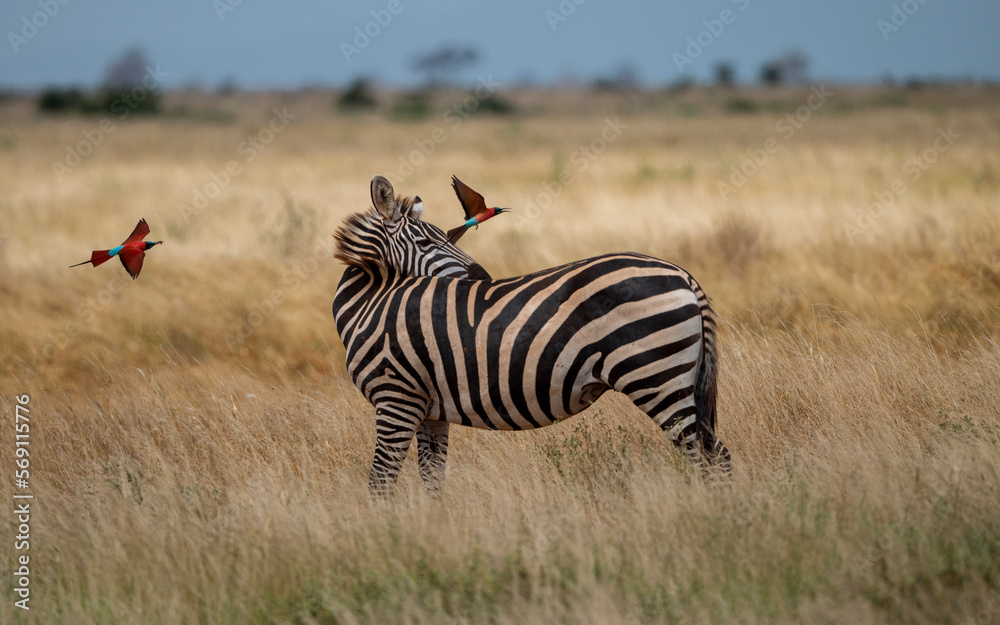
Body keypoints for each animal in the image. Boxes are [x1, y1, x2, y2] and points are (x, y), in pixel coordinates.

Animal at [333, 175, 731, 495]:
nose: (483, 277)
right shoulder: (429, 410)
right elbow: (432, 481)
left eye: (446, 238)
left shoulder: (397, 398)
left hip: (655, 375)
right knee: (717, 455)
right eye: (429, 244)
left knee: (705, 457)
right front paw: (435, 532)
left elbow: (380, 483)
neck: (371, 303)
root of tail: (683, 274)